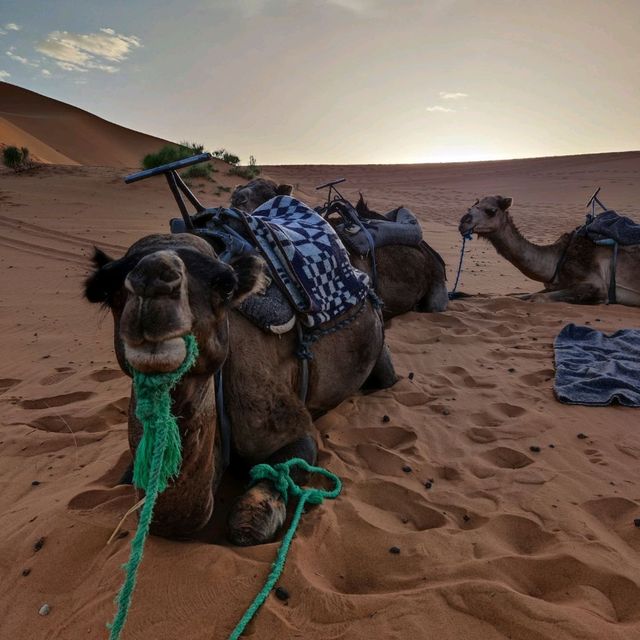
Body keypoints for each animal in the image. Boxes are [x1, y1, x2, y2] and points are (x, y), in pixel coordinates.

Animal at [460, 194, 640, 306]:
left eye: (491, 211)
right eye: (471, 207)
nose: (463, 222)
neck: (558, 258)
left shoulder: (597, 285)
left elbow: (537, 297)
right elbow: (518, 296)